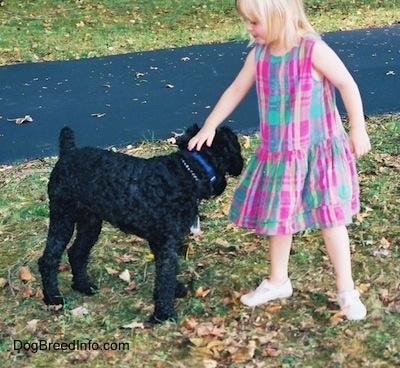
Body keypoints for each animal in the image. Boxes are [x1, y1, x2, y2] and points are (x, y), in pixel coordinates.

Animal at [38, 123, 244, 322]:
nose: (241, 165)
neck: (186, 172)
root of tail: (68, 153)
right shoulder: (166, 243)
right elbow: (166, 275)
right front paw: (163, 314)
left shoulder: (161, 242)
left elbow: (167, 272)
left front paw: (175, 291)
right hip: (63, 218)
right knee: (48, 259)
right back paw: (53, 298)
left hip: (90, 223)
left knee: (76, 252)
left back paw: (83, 286)